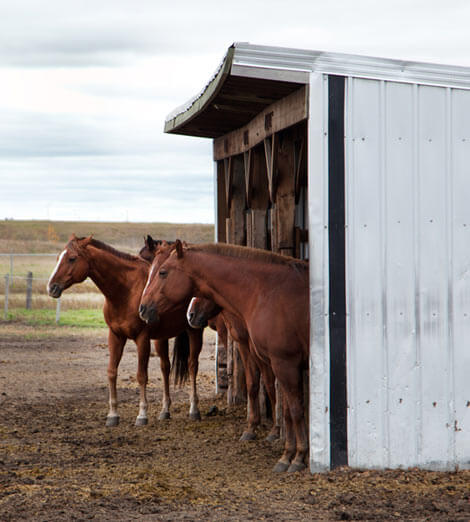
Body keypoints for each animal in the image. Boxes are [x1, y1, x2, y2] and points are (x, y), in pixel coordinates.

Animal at [46, 234, 206, 424]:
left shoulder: (142, 339)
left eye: (71, 258)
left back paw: (194, 409)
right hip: (161, 338)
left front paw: (142, 414)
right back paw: (165, 410)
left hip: (194, 332)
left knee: (192, 365)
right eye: (58, 258)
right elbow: (111, 372)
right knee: (165, 367)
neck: (126, 291)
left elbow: (141, 375)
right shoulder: (115, 336)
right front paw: (113, 415)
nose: (51, 287)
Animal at [186, 296, 280, 438]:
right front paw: (252, 427)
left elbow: (270, 384)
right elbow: (252, 383)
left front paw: (275, 429)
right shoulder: (244, 345)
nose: (190, 315)